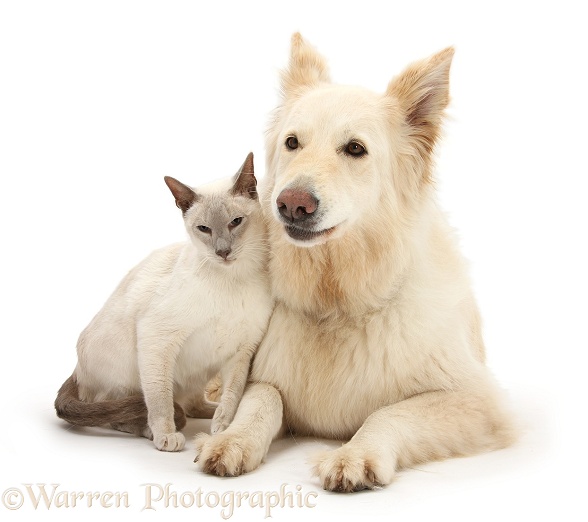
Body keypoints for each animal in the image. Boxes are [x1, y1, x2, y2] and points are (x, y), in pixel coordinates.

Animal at [54, 152, 272, 448]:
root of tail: (76, 371)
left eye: (235, 222)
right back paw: (150, 431)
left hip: (199, 370)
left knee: (192, 404)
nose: (223, 251)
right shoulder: (158, 337)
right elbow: (159, 399)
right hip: (129, 373)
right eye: (204, 229)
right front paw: (166, 435)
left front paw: (223, 427)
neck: (234, 278)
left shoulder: (242, 349)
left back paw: (210, 412)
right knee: (117, 411)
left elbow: (232, 395)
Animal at [194, 34, 516, 490]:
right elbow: (263, 399)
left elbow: (390, 412)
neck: (339, 303)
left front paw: (356, 455)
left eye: (355, 149)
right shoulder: (262, 375)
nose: (291, 204)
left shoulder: (479, 402)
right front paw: (234, 440)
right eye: (292, 143)